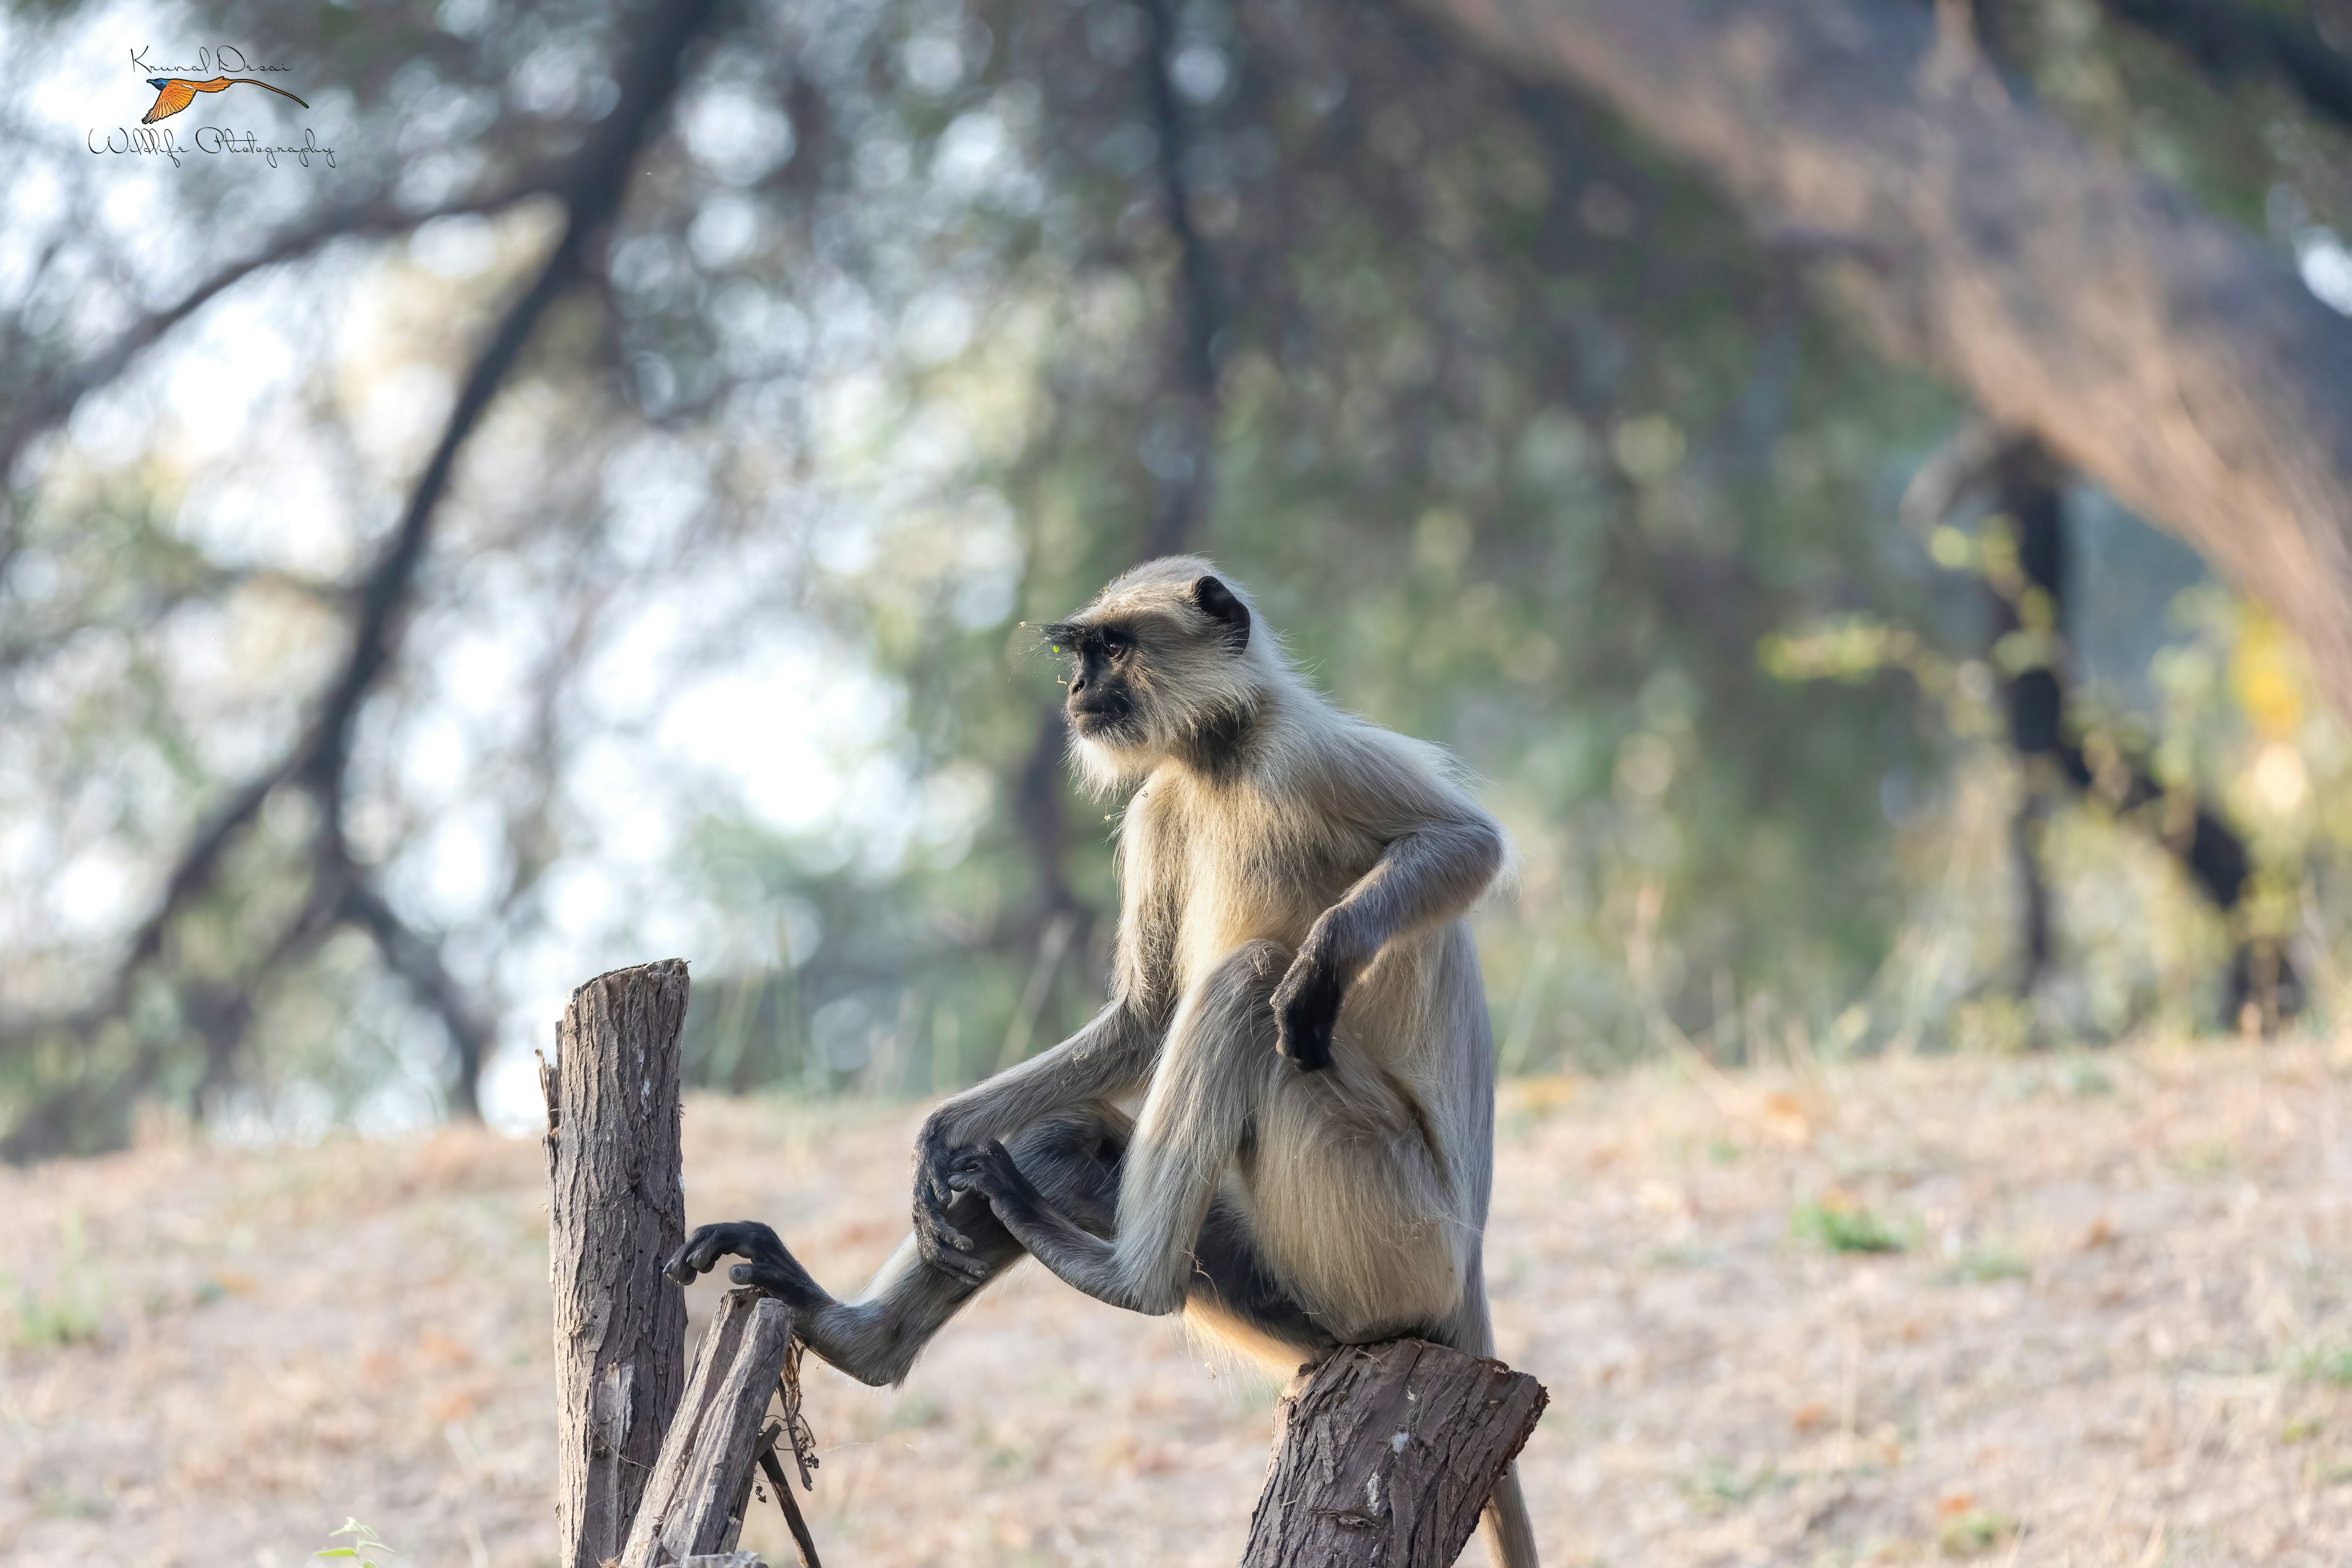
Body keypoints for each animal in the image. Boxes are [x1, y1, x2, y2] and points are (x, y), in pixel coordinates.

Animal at [673, 557, 1533, 1561]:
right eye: (1078, 654)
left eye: (1112, 648)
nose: (1078, 692)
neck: (1220, 754)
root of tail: (1467, 1287)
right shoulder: (1162, 803)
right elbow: (1145, 1018)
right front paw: (940, 1132)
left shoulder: (1304, 752)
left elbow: (1469, 842)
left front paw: (1327, 956)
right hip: (1293, 1292)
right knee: (1070, 1137)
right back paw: (861, 1336)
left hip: (1394, 1231)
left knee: (1248, 983)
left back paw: (1130, 1281)